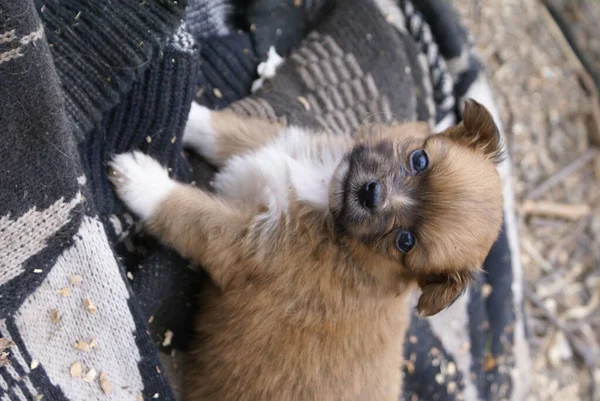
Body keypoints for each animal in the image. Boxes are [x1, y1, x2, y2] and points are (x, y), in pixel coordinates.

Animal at [109, 99, 506, 400]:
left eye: (405, 242)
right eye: (419, 160)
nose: (371, 193)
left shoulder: (238, 242)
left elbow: (186, 211)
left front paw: (142, 181)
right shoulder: (283, 143)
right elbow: (227, 130)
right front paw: (188, 109)